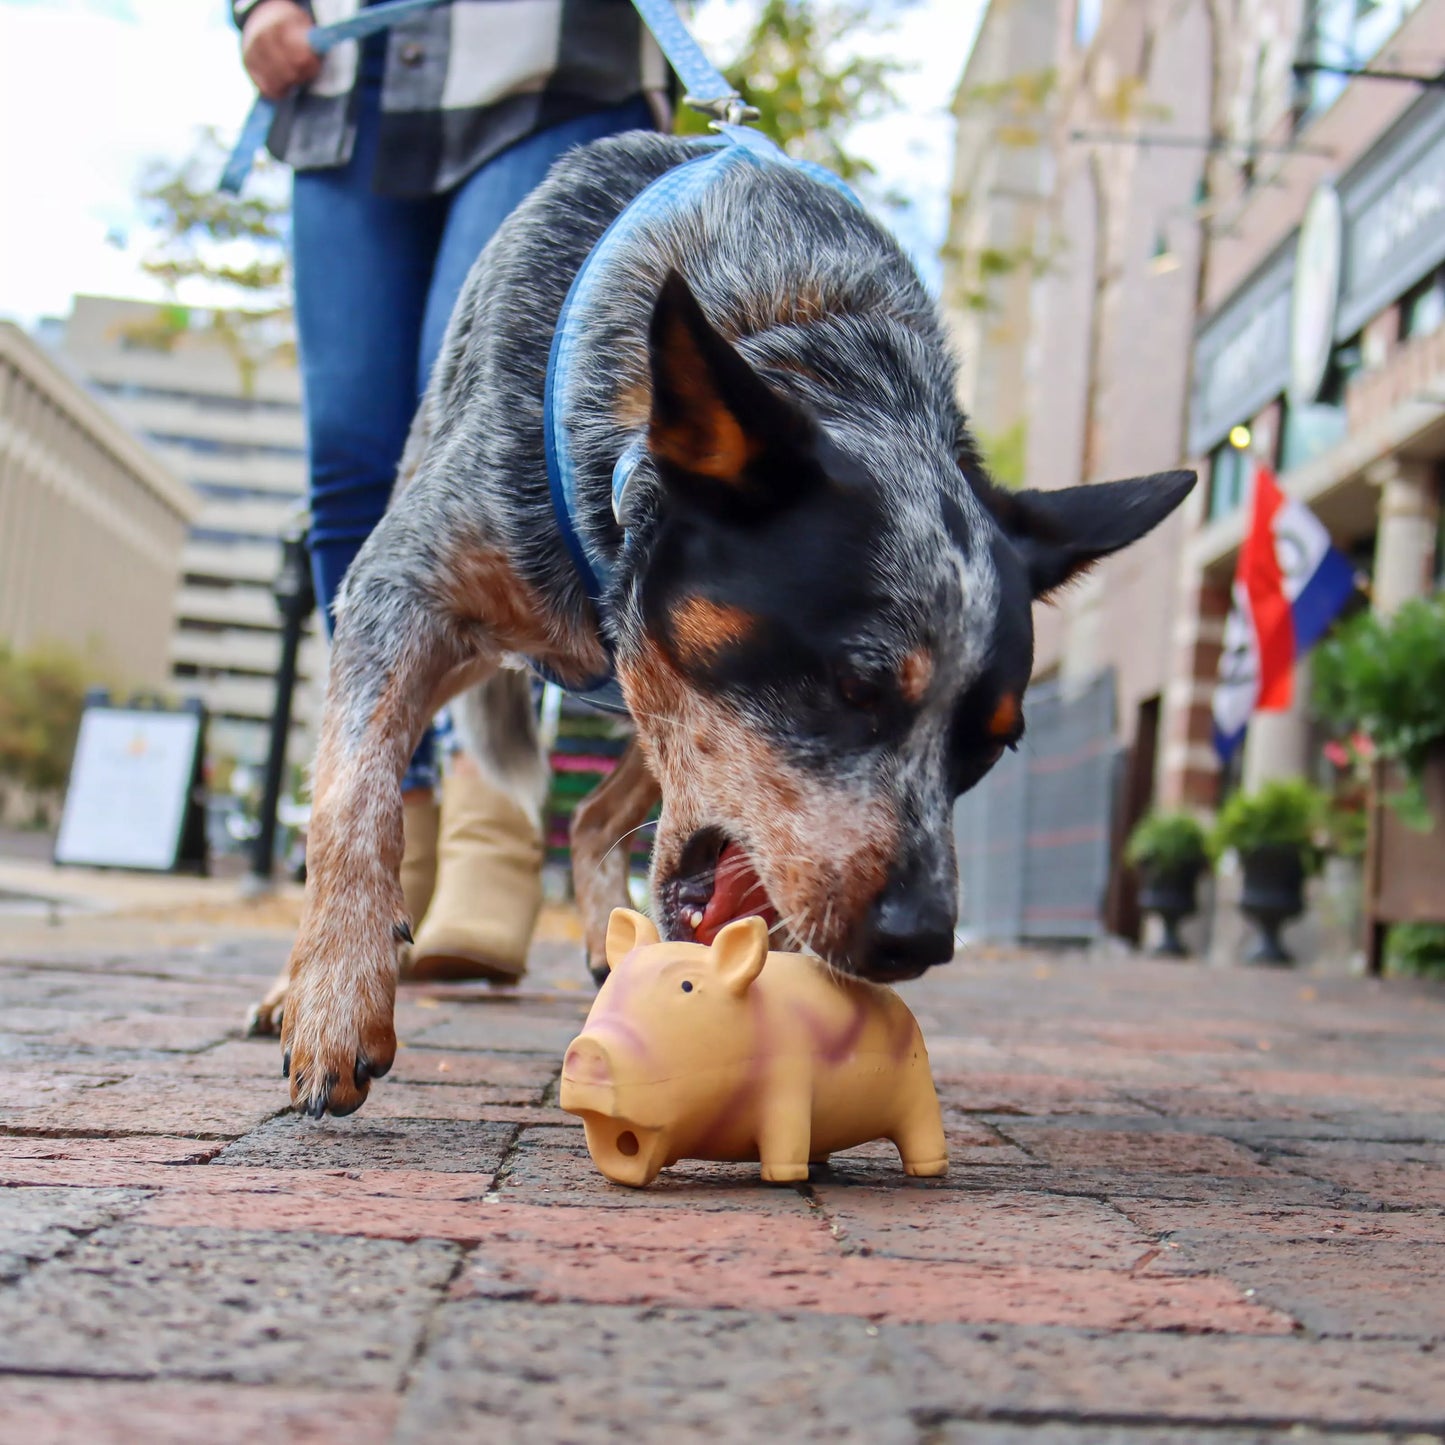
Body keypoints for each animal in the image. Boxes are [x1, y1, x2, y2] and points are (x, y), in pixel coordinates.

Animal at [251, 130, 1196, 1115]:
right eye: (853, 683)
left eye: (991, 743)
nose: (919, 938)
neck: (794, 315)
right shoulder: (400, 589)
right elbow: (351, 798)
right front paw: (336, 998)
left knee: (594, 817)